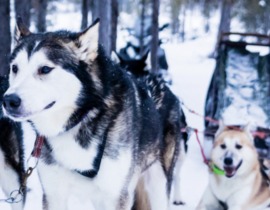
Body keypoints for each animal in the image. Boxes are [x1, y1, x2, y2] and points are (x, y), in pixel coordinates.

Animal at [2, 18, 184, 210]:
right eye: (15, 68)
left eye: (45, 69)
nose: (9, 100)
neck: (82, 119)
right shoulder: (54, 195)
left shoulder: (116, 197)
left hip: (158, 185)